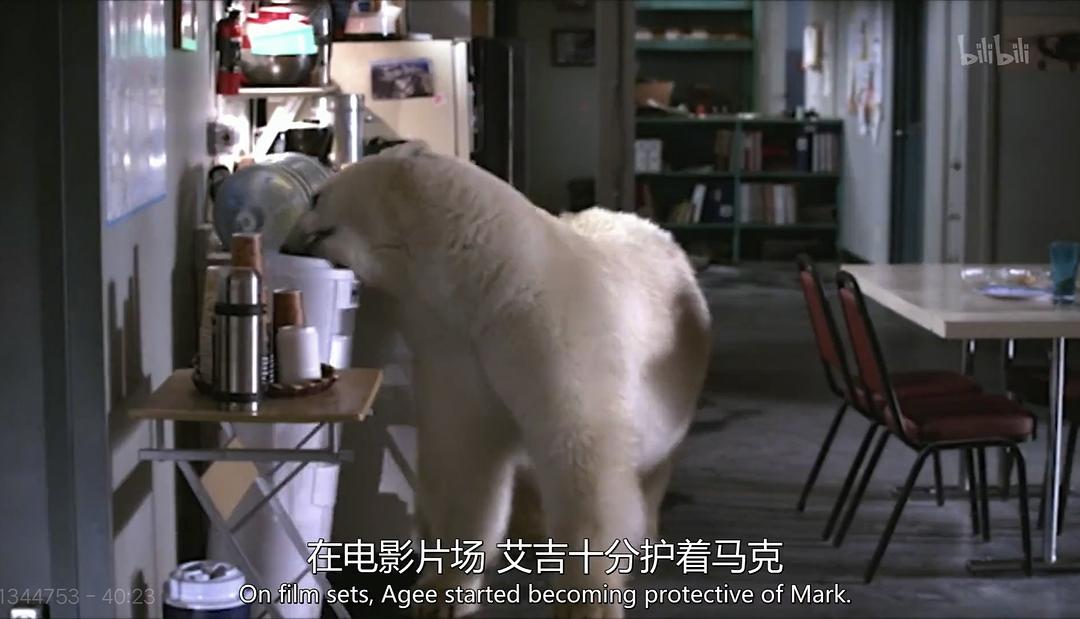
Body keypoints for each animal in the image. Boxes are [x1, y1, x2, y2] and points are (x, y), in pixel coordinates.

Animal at [283, 143, 711, 619]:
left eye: (317, 196)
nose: (285, 243)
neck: (486, 281)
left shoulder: (555, 330)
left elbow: (581, 452)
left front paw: (587, 602)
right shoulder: (454, 350)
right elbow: (466, 458)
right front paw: (441, 594)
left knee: (652, 463)